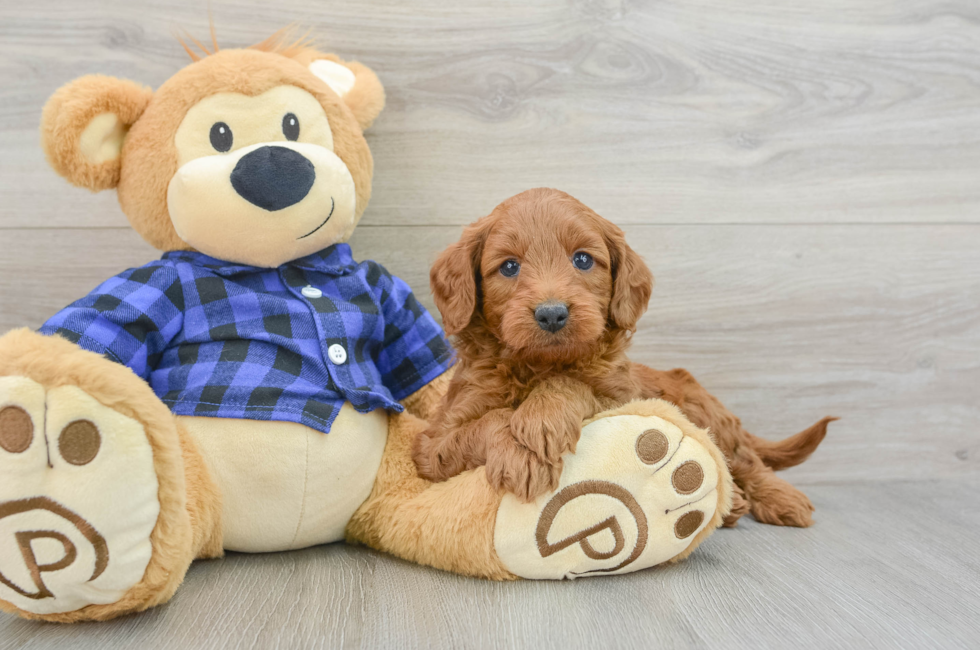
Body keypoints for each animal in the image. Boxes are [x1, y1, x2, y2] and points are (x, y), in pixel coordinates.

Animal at [414, 189, 836, 528]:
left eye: (583, 260)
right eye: (509, 266)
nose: (552, 314)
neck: (540, 364)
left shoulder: (624, 400)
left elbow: (572, 383)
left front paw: (540, 420)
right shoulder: (433, 445)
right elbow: (486, 422)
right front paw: (520, 453)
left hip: (708, 414)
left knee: (747, 461)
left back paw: (781, 499)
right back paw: (733, 508)